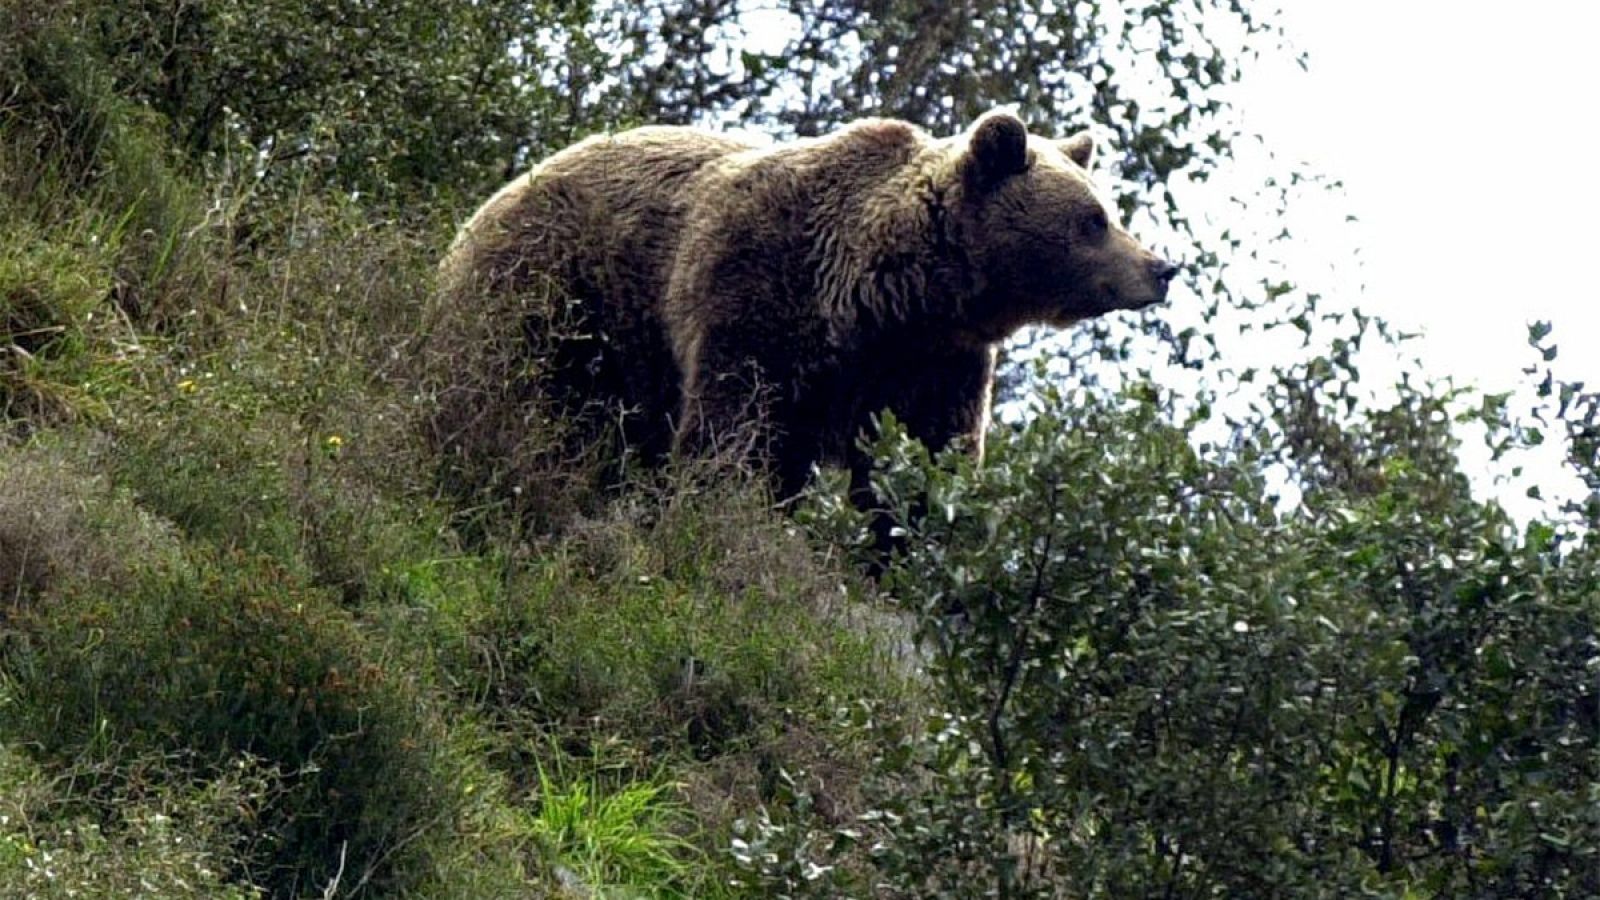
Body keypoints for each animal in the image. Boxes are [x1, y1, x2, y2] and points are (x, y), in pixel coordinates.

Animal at [432, 110, 1175, 517]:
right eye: (1094, 219)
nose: (1161, 268)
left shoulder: (934, 363)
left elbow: (929, 460)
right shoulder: (759, 287)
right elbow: (734, 426)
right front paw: (720, 508)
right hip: (557, 292)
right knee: (522, 388)